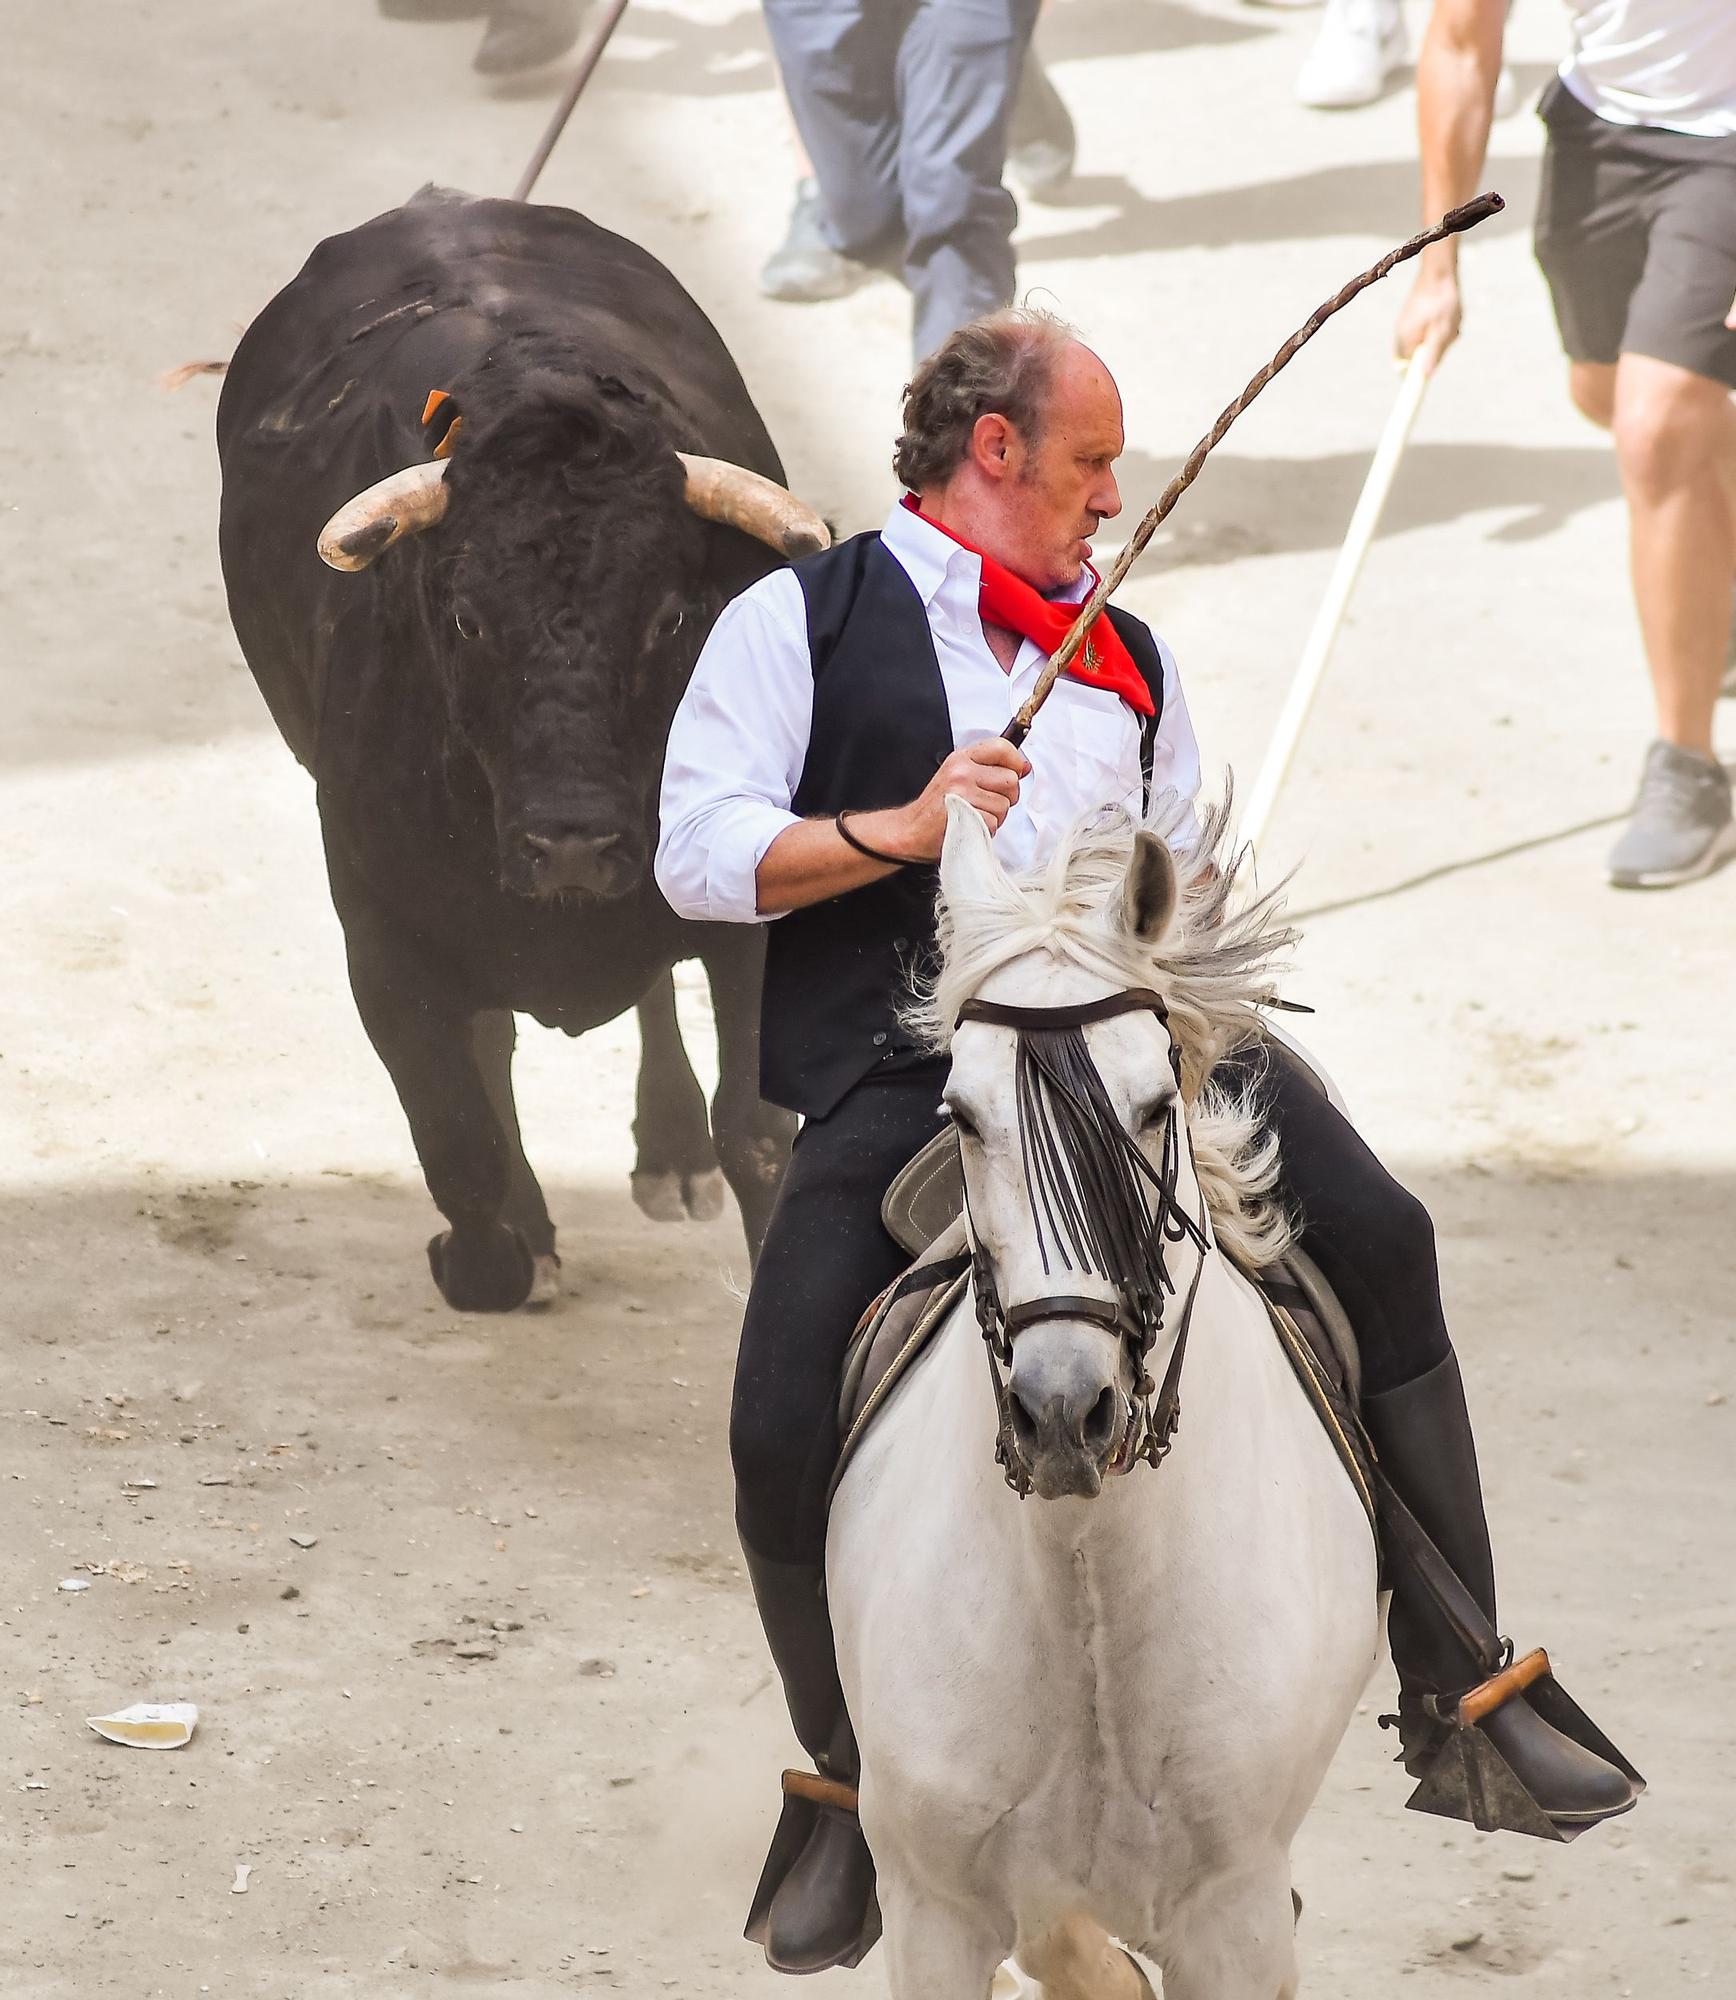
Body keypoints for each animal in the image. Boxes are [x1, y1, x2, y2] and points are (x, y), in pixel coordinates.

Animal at [215, 191, 800, 1312]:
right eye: (467, 618)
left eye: (671, 616)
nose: (570, 842)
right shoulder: (384, 942)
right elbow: (460, 1146)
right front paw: (498, 1248)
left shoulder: (756, 912)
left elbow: (759, 1131)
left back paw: (670, 1154)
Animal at [828, 796, 1384, 2000]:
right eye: (960, 1112)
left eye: (1152, 1104)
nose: (1060, 1413)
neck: (1088, 1577)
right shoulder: (933, 1908)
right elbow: (1051, 1928)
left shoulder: (1234, 1916)